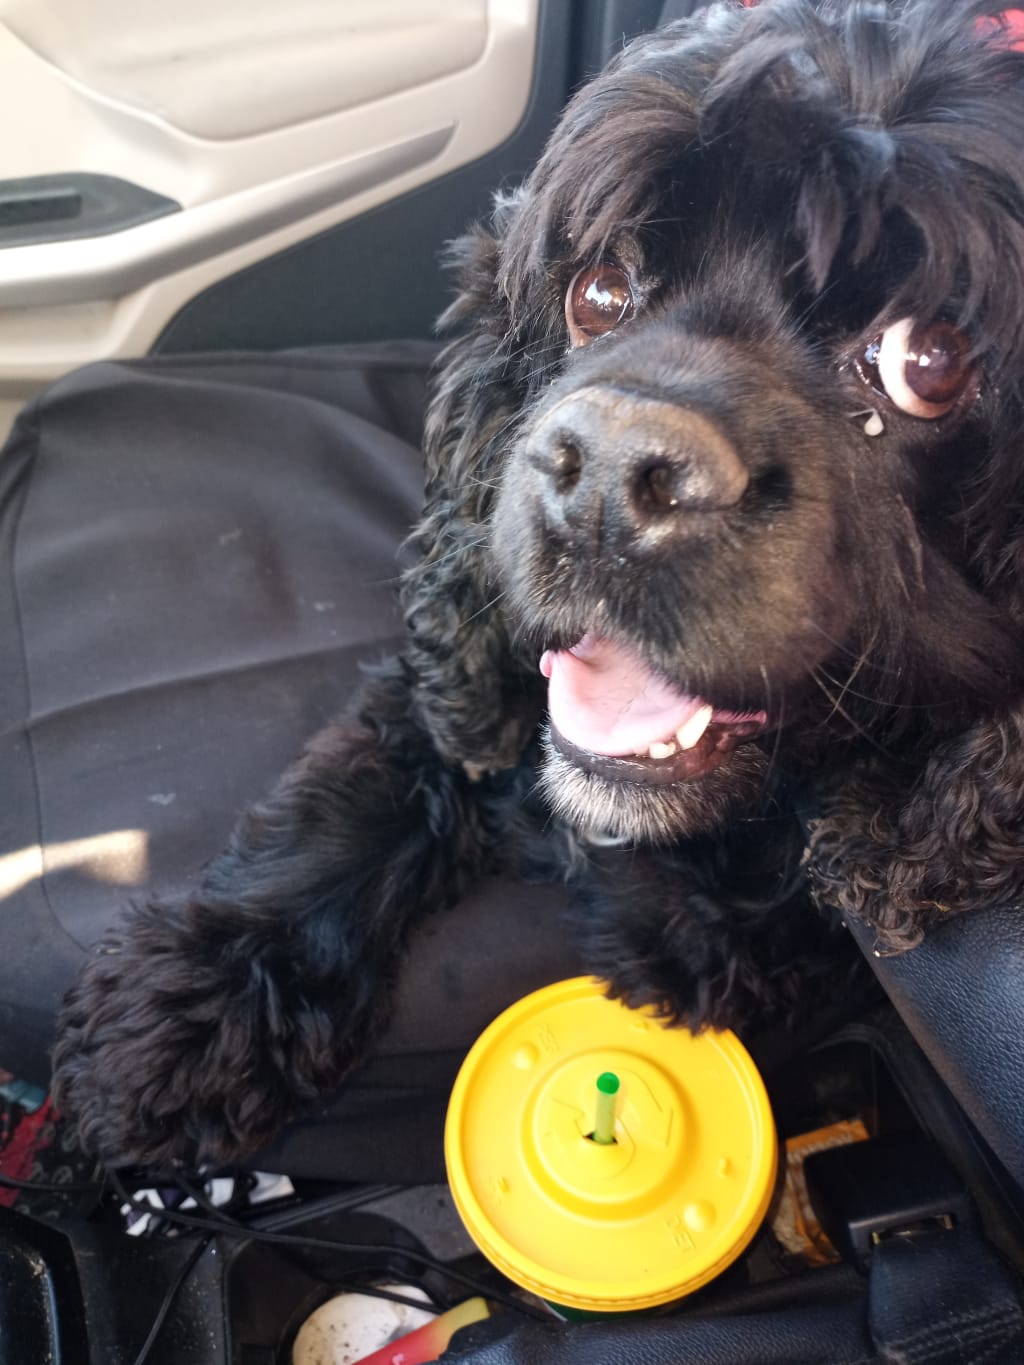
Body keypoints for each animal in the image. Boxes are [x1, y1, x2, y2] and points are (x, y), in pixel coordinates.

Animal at [54, 0, 1024, 1169]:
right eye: (598, 292)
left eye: (928, 362)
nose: (608, 474)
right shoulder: (455, 667)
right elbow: (345, 799)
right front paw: (193, 1006)